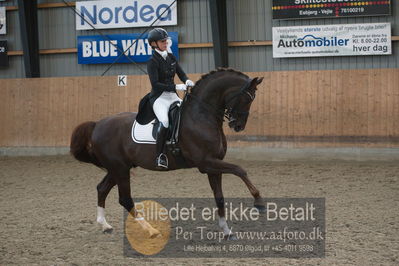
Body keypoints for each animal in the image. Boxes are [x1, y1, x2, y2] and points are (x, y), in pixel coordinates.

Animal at [70, 68, 266, 237]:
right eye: (247, 98)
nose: (238, 126)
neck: (201, 116)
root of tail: (98, 124)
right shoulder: (206, 163)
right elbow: (240, 170)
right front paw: (259, 201)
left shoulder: (214, 165)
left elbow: (220, 197)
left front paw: (226, 231)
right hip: (119, 169)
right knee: (125, 199)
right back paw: (151, 230)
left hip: (118, 168)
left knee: (102, 188)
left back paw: (105, 225)